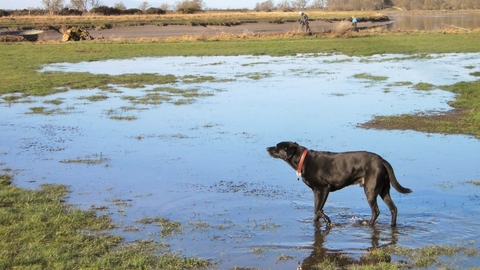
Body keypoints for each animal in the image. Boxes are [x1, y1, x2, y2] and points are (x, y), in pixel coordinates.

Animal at [266, 141, 412, 228]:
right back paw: (392, 226)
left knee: (376, 211)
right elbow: (315, 210)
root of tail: (382, 160)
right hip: (383, 190)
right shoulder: (316, 191)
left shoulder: (324, 189)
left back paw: (368, 224)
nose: (267, 148)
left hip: (370, 190)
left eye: (277, 146)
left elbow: (319, 209)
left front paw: (328, 221)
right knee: (393, 208)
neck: (303, 159)